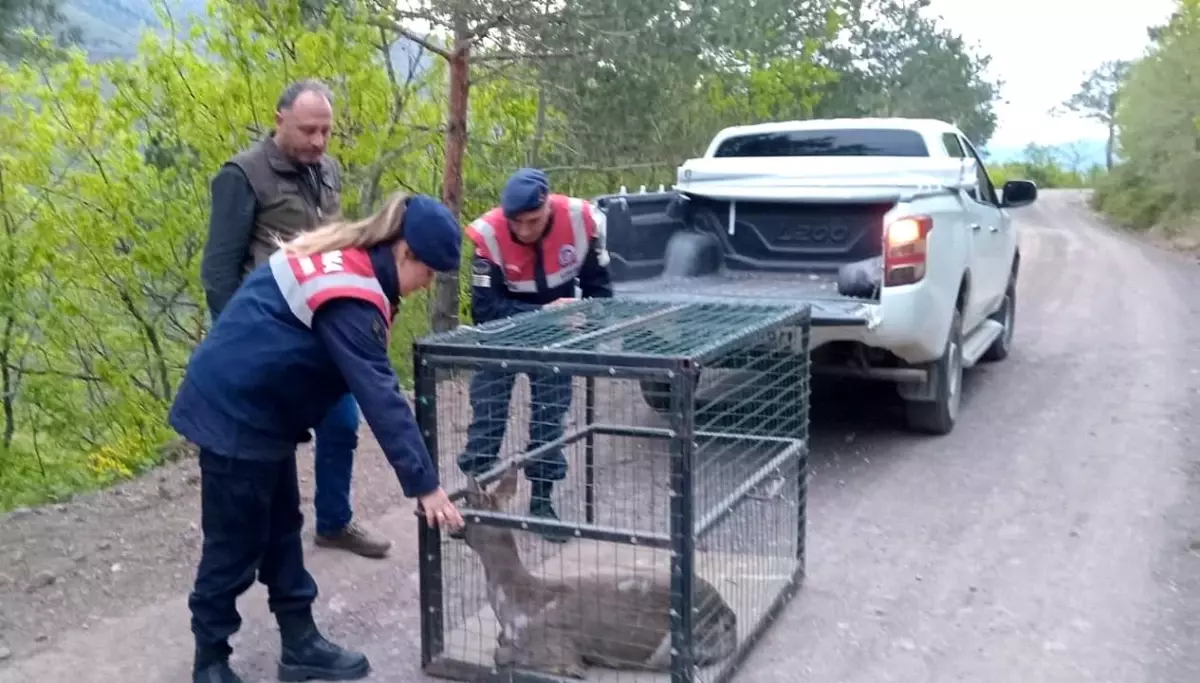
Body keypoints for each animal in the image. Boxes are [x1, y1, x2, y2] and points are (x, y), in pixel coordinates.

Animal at [460, 463, 734, 676]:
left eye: (467, 507)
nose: (455, 529)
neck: (514, 604)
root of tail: (728, 614)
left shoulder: (556, 648)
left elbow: (501, 655)